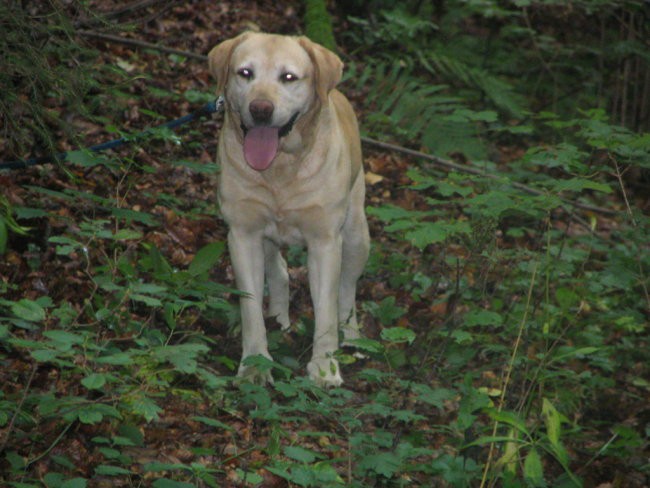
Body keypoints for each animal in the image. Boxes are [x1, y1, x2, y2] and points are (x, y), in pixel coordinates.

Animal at [209, 32, 370, 386]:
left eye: (288, 77)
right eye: (245, 73)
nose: (260, 109)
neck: (280, 169)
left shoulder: (326, 241)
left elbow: (326, 311)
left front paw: (325, 368)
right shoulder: (242, 234)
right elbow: (250, 306)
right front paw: (255, 365)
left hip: (356, 233)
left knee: (347, 290)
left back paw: (353, 337)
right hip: (268, 237)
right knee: (279, 271)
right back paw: (278, 318)